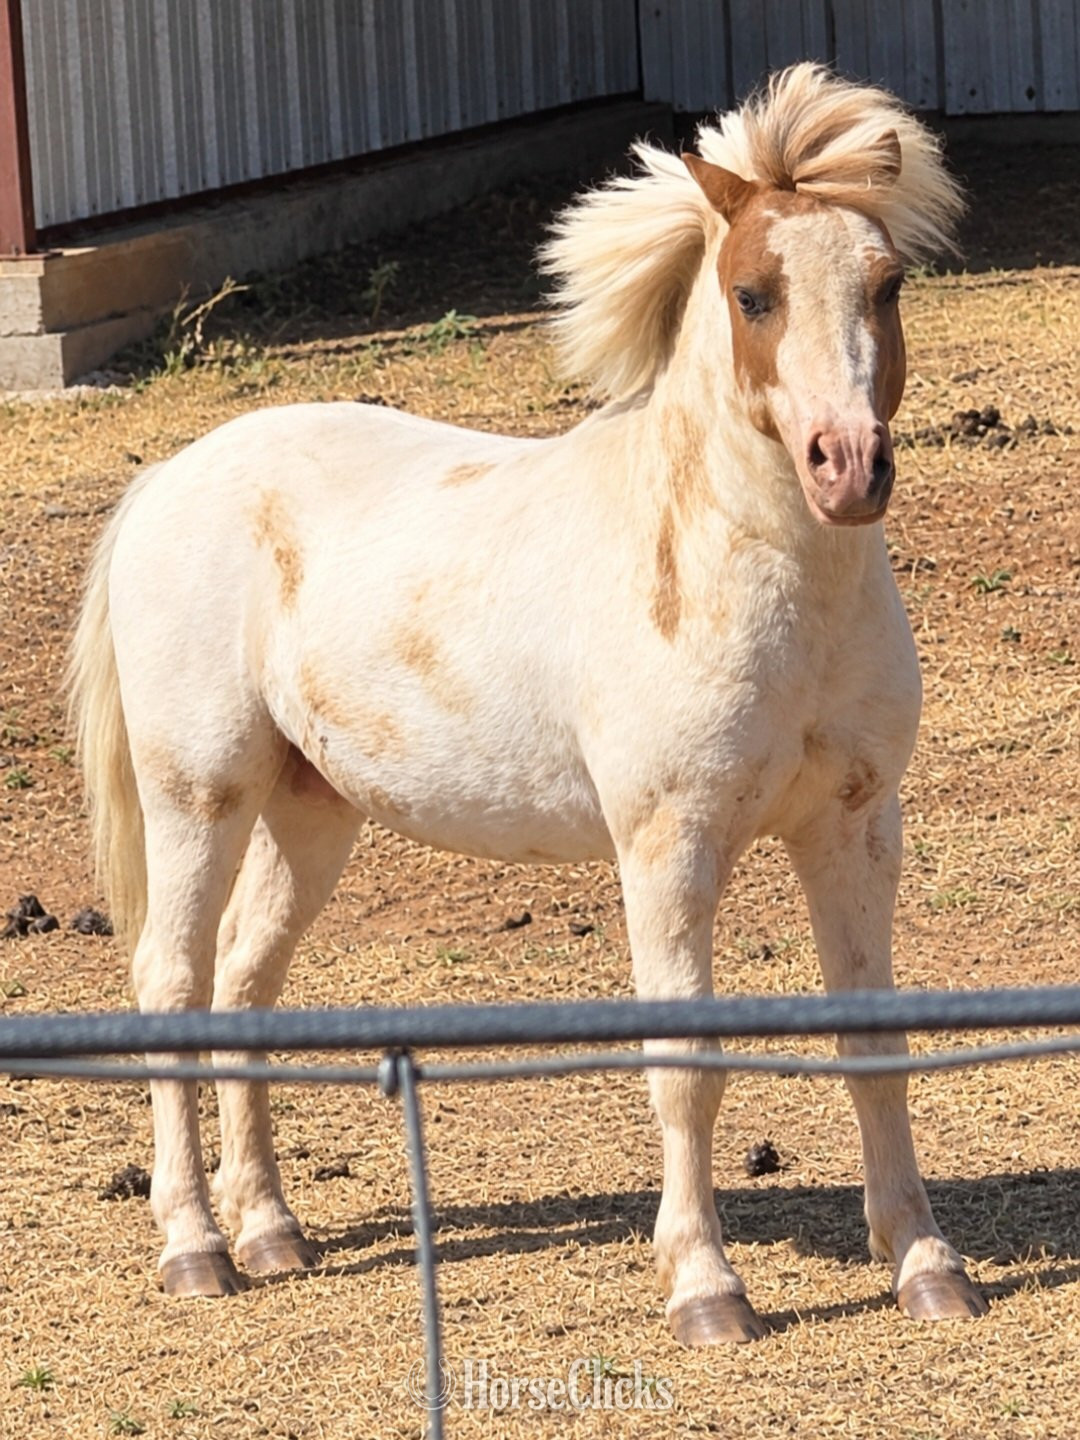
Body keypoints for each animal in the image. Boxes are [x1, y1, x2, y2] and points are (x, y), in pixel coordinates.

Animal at [70, 63, 984, 1343]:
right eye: (751, 294)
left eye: (887, 282)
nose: (847, 464)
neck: (750, 581)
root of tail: (169, 478)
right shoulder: (667, 844)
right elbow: (685, 1066)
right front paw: (706, 1288)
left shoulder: (854, 827)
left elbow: (876, 1042)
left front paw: (927, 1265)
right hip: (197, 794)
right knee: (173, 983)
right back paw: (195, 1246)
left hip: (311, 809)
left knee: (249, 978)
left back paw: (273, 1231)